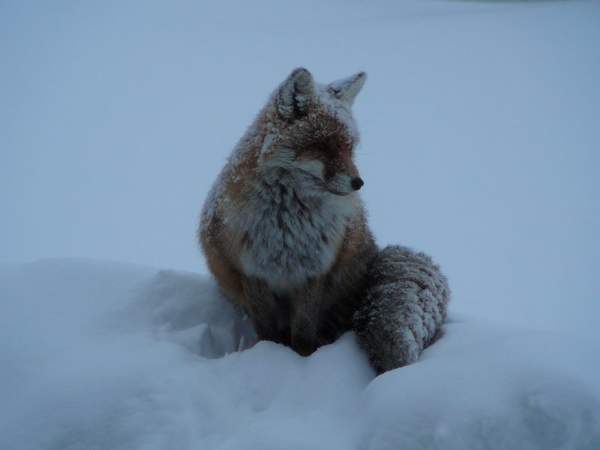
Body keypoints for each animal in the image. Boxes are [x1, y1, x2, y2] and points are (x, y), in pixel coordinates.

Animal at [200, 67, 450, 372]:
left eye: (350, 147)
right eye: (325, 146)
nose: (358, 183)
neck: (286, 227)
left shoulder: (313, 273)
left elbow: (303, 332)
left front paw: (303, 362)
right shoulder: (253, 273)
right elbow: (267, 331)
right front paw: (269, 355)